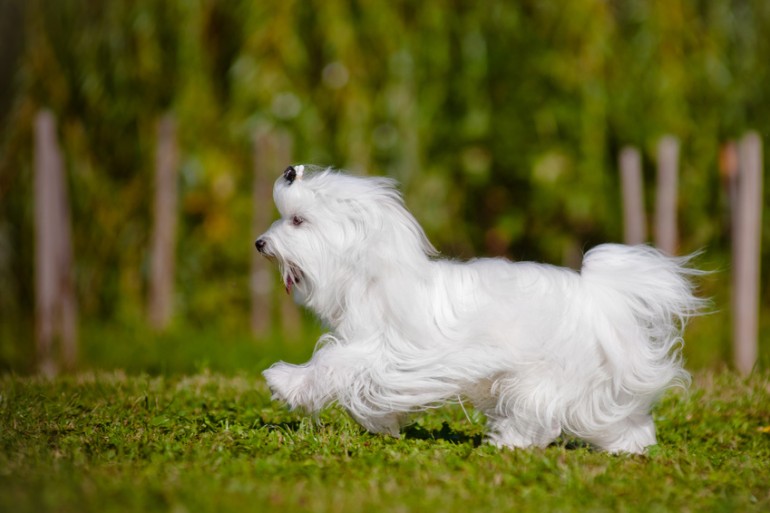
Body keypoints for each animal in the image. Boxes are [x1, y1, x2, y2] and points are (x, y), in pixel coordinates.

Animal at [258, 164, 704, 452]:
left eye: (297, 221)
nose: (260, 243)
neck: (370, 271)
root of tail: (598, 296)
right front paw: (381, 423)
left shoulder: (384, 350)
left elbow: (333, 363)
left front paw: (284, 382)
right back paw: (629, 447)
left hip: (545, 375)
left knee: (538, 412)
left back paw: (508, 443)